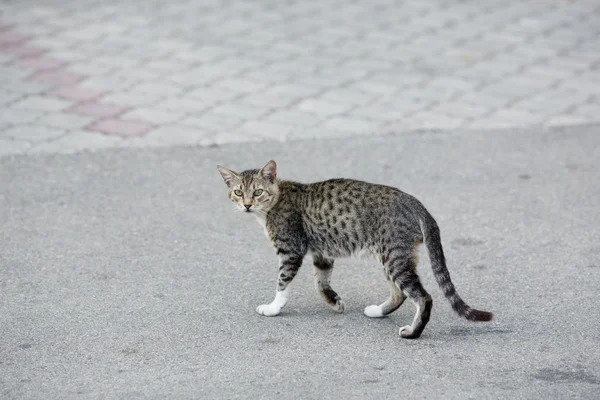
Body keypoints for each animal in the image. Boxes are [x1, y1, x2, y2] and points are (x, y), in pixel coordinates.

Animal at [217, 161, 492, 340]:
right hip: (391, 256)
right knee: (400, 293)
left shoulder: (290, 250)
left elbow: (282, 283)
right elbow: (321, 281)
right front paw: (334, 301)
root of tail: (415, 203)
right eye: (238, 192)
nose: (247, 205)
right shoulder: (322, 253)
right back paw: (377, 311)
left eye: (258, 192)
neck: (274, 203)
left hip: (393, 255)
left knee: (423, 297)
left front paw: (273, 307)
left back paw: (412, 333)